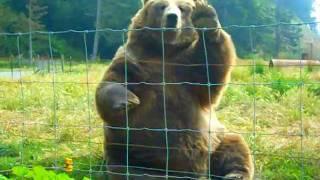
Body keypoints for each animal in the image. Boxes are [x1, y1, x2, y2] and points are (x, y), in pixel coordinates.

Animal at [95, 0, 252, 179]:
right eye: (161, 6)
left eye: (183, 8)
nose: (172, 17)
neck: (165, 52)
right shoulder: (134, 62)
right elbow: (111, 82)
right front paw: (128, 100)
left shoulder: (187, 68)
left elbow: (210, 77)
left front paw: (205, 18)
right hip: (128, 152)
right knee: (127, 170)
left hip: (215, 140)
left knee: (234, 146)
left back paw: (234, 174)